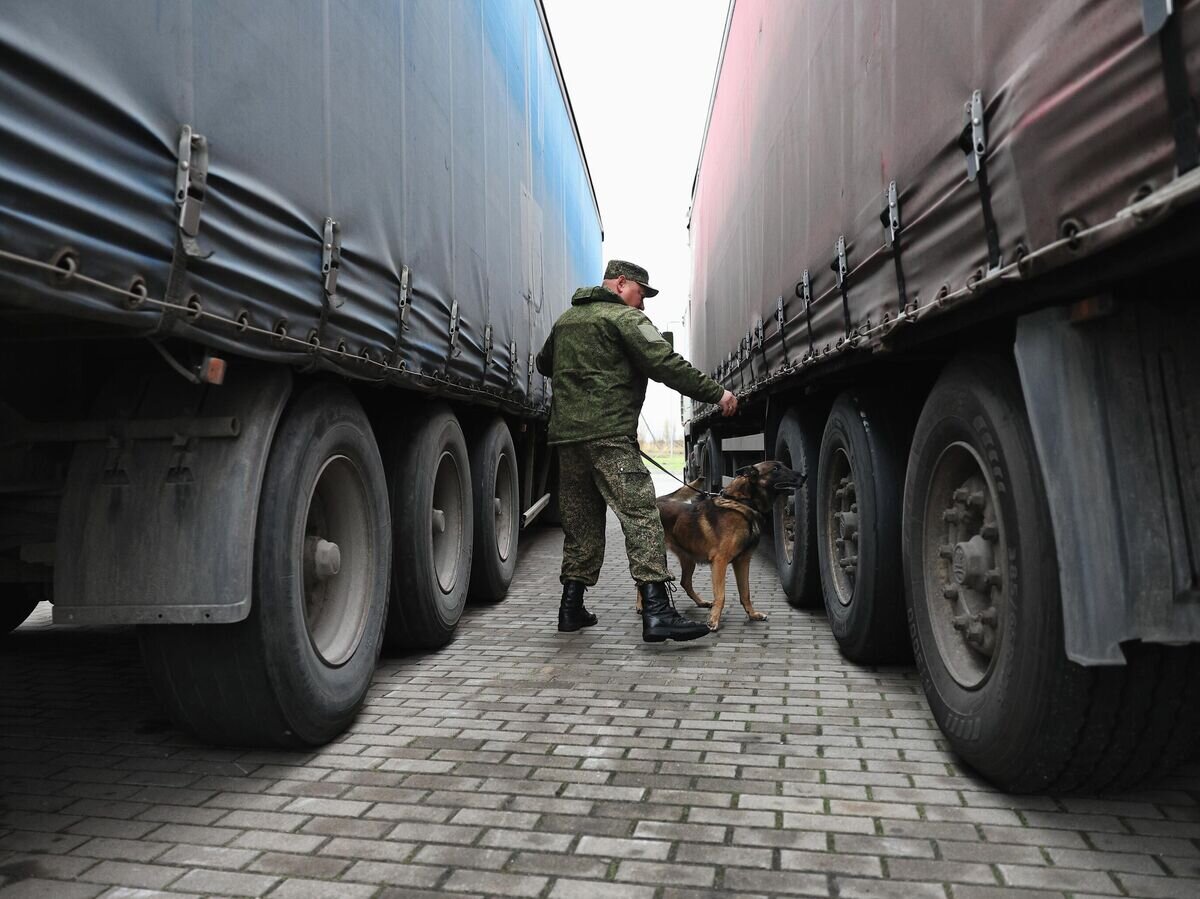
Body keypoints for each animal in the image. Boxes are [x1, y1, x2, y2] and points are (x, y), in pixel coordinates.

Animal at [638, 463, 806, 628]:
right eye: (776, 469)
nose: (804, 476)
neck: (742, 502)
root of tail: (658, 500)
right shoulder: (720, 561)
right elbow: (721, 595)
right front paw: (714, 619)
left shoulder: (743, 561)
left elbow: (745, 592)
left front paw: (752, 614)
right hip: (655, 555)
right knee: (643, 580)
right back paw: (640, 605)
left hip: (688, 559)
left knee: (684, 582)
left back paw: (701, 602)